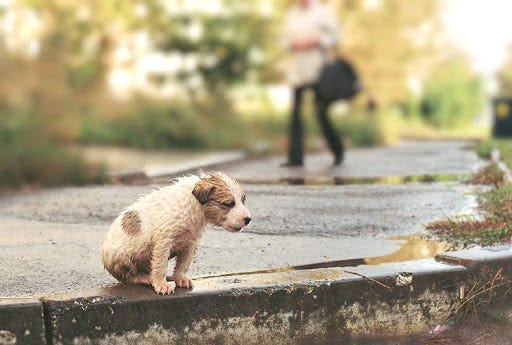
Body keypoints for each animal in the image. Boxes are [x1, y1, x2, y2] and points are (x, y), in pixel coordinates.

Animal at [99, 171, 250, 292]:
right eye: (228, 204)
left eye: (242, 201)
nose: (248, 219)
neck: (193, 206)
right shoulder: (163, 243)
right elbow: (160, 266)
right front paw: (161, 285)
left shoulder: (190, 244)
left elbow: (183, 264)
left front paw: (180, 278)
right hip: (122, 257)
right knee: (128, 276)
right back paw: (144, 278)